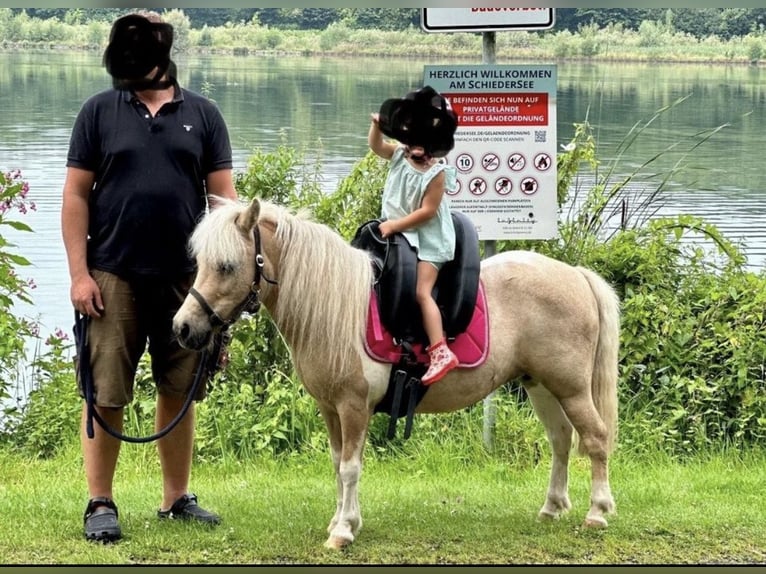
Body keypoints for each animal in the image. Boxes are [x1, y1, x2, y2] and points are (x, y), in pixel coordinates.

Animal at [172, 197, 624, 548]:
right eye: (201, 263)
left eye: (227, 266)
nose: (183, 327)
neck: (336, 307)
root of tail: (576, 275)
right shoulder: (330, 409)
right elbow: (338, 464)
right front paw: (344, 520)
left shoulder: (353, 406)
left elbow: (351, 468)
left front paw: (342, 531)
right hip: (542, 386)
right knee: (561, 440)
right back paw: (551, 507)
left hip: (571, 389)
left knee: (596, 439)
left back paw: (598, 512)